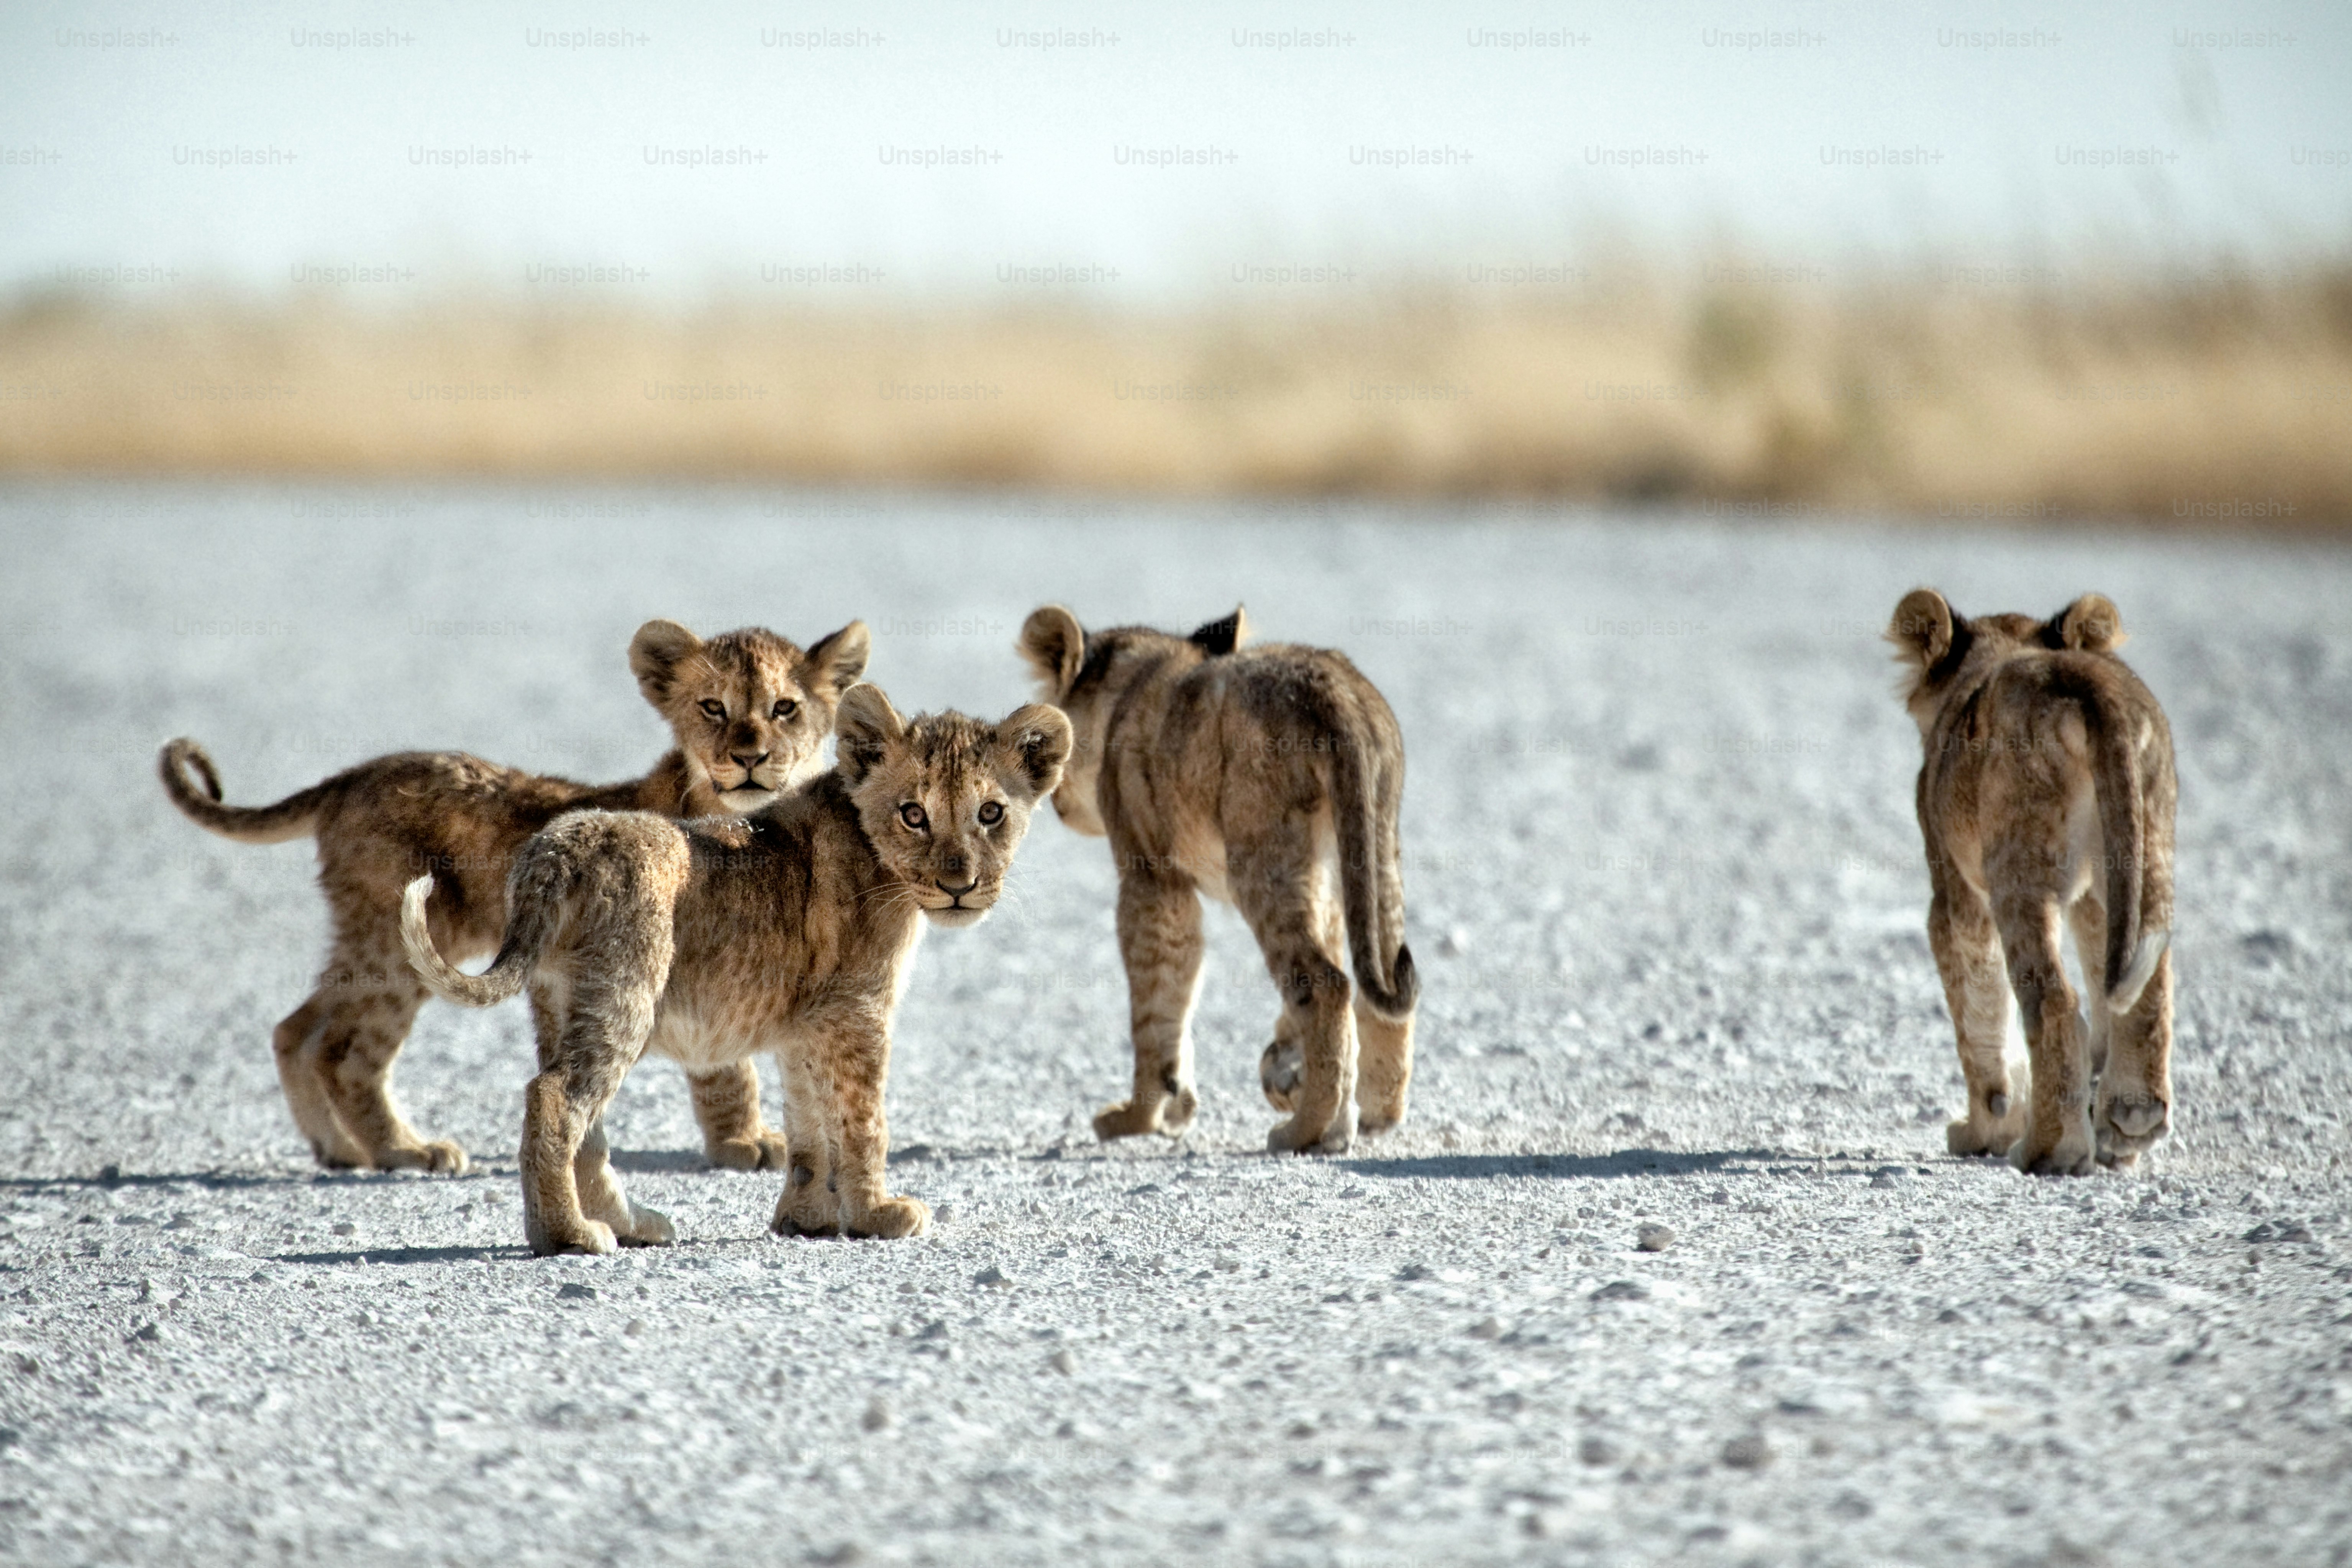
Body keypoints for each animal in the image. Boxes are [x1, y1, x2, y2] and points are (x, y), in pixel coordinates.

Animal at [160, 618, 869, 1176]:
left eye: (784, 708)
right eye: (713, 708)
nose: (749, 759)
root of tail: (352, 776)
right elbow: (726, 1065)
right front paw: (743, 1142)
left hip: (374, 939)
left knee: (296, 1027)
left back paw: (338, 1148)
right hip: (405, 937)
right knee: (344, 1051)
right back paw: (404, 1151)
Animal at [397, 684, 1072, 1255]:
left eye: (991, 813)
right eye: (913, 814)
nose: (960, 886)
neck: (878, 857)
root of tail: (556, 846)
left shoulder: (808, 1023)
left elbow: (810, 1124)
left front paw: (808, 1218)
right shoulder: (857, 1012)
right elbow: (862, 1122)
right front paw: (879, 1214)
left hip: (558, 1001)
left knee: (585, 1121)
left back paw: (629, 1224)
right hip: (626, 993)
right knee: (556, 1097)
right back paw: (567, 1236)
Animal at [1017, 604, 1418, 1155]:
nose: (1054, 802)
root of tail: (1331, 689)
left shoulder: (1152, 877)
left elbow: (1159, 1000)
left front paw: (1141, 1116)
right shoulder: (1322, 877)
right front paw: (1287, 1067)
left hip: (1260, 856)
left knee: (1326, 984)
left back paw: (1302, 1131)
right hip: (1373, 840)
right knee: (1381, 977)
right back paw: (1366, 1116)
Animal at [1888, 588, 2177, 1175]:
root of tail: (2082, 681)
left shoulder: (1953, 890)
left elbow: (1977, 1008)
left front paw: (1985, 1129)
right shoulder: (2092, 894)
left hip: (2016, 866)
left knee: (2052, 1000)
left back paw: (2048, 1148)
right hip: (2143, 842)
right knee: (2146, 982)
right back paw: (2131, 1121)